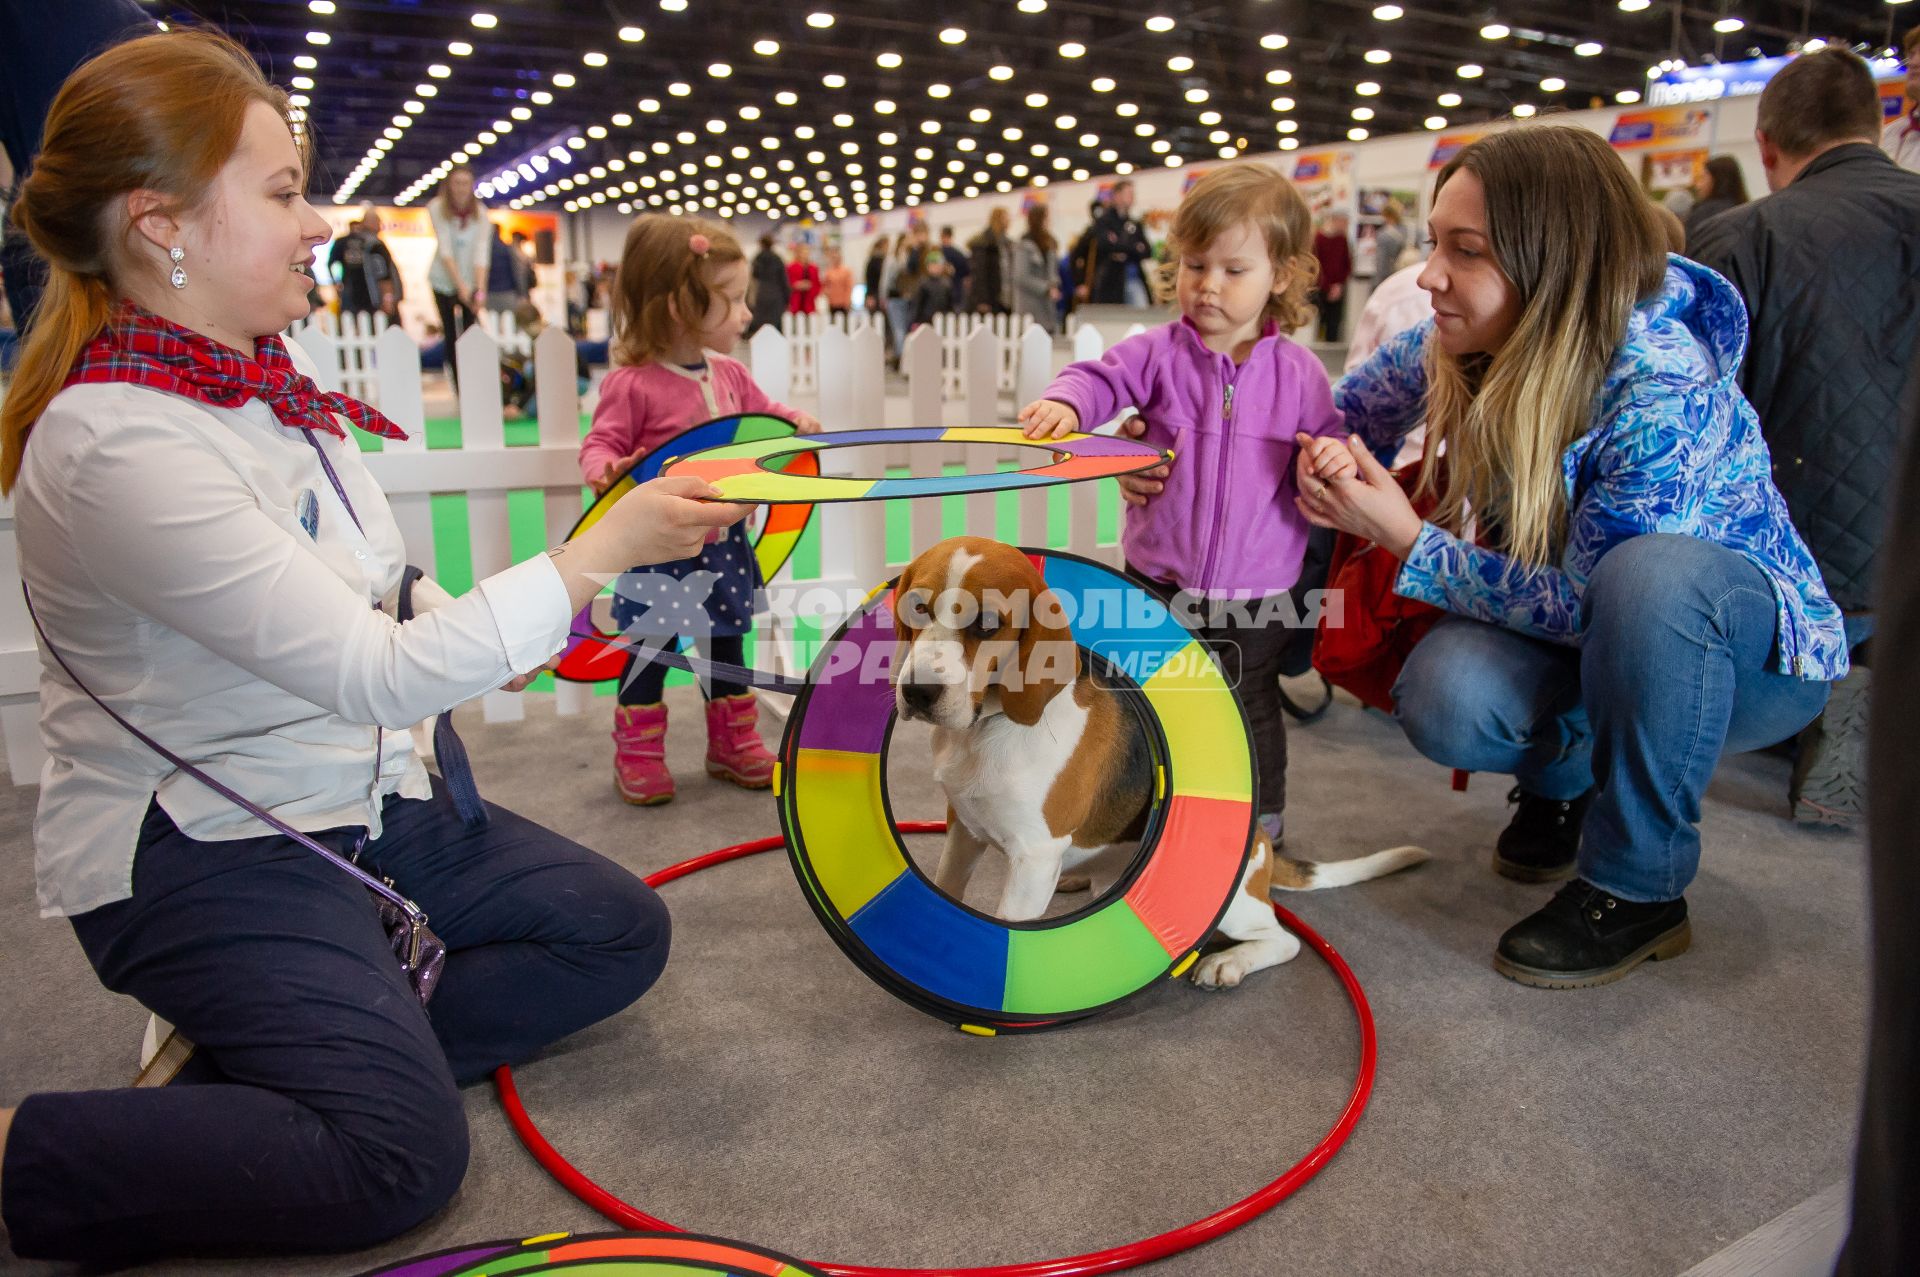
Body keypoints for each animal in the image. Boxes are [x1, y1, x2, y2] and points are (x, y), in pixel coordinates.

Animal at [887, 533, 1428, 983]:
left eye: (986, 624)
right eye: (918, 608)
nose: (917, 693)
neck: (987, 728)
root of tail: (1262, 846)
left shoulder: (1034, 855)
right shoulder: (964, 830)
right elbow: (946, 888)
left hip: (1235, 907)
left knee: (1282, 939)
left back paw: (1229, 962)